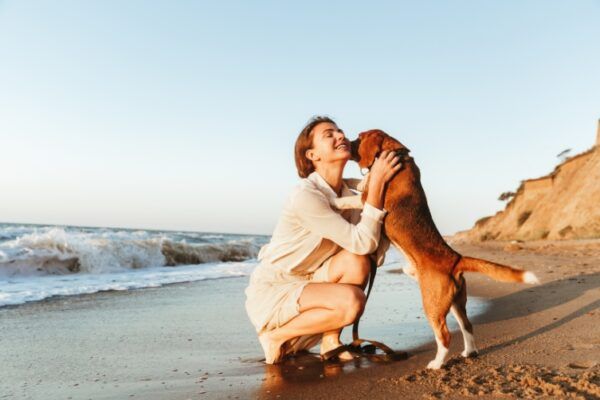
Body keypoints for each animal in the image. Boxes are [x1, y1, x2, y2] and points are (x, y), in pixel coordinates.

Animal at [342, 130, 540, 370]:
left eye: (359, 138)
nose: (346, 143)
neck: (398, 153)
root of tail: (455, 259)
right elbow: (357, 182)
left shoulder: (368, 198)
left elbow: (352, 196)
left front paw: (337, 198)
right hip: (456, 302)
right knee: (467, 325)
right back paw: (469, 351)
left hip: (432, 305)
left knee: (445, 335)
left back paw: (437, 363)